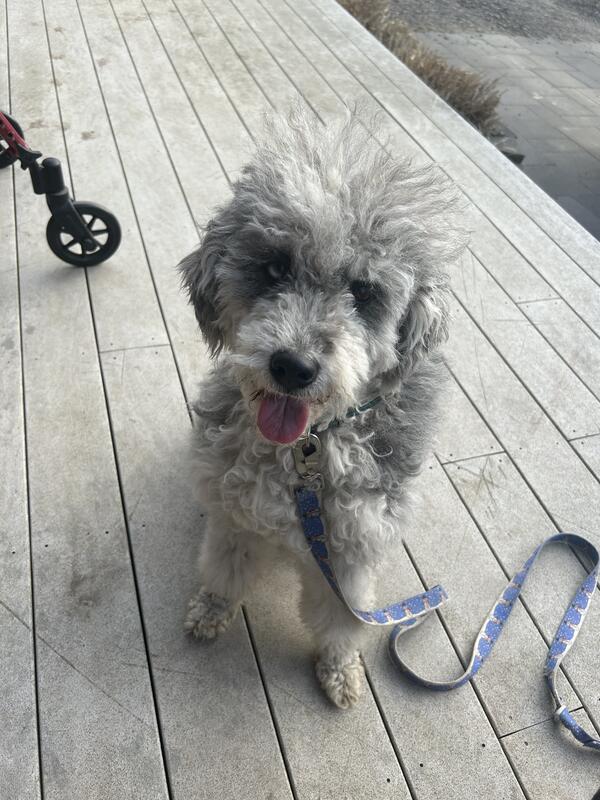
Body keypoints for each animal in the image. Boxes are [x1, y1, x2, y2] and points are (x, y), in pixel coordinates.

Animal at [180, 105, 465, 709]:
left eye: (364, 290)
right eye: (273, 268)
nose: (293, 367)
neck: (306, 449)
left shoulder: (351, 555)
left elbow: (339, 623)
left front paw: (339, 672)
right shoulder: (235, 518)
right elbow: (223, 573)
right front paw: (209, 613)